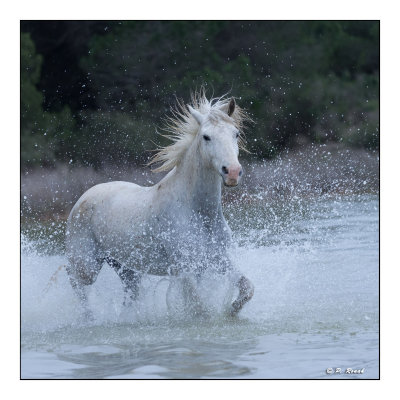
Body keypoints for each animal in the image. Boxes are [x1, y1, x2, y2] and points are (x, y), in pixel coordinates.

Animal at [65, 92, 253, 318]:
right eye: (206, 137)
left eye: (236, 134)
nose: (232, 172)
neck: (198, 212)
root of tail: (83, 198)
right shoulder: (185, 268)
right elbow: (199, 307)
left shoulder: (218, 260)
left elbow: (247, 288)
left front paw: (231, 311)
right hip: (87, 265)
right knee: (76, 282)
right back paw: (88, 318)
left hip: (126, 267)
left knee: (130, 293)